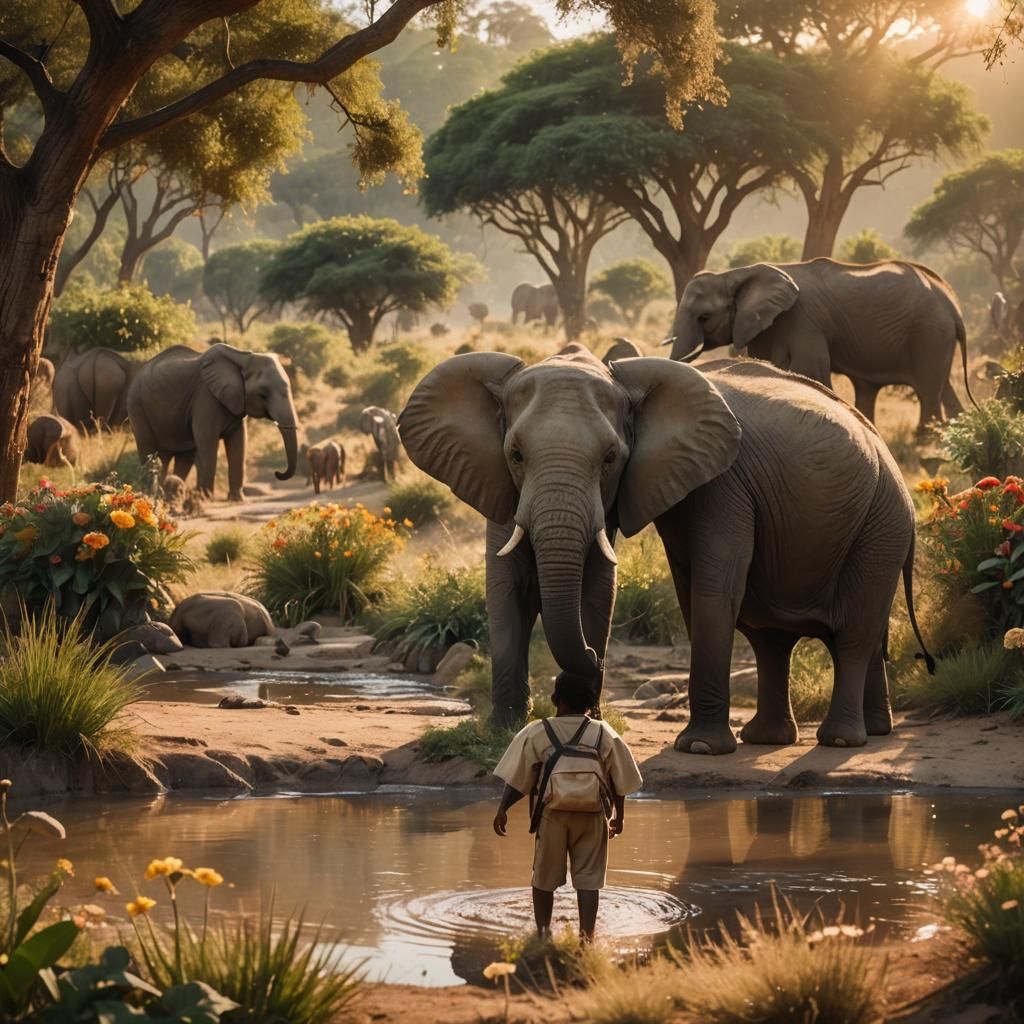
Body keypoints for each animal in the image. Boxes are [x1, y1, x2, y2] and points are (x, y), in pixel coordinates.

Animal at [127, 343, 299, 501]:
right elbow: (208, 441)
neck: (242, 357)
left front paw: (236, 498)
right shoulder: (205, 397)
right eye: (263, 394)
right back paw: (152, 494)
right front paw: (206, 498)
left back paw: (166, 495)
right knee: (148, 449)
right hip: (137, 405)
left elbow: (239, 443)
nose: (277, 473)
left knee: (177, 456)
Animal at [399, 345, 932, 750]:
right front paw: (503, 732)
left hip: (882, 522)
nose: (591, 662)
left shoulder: (725, 481)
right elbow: (507, 585)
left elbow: (685, 590)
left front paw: (697, 748)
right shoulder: (492, 472)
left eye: (610, 458)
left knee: (854, 629)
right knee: (782, 638)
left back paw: (838, 740)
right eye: (515, 454)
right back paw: (804, 736)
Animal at [667, 259, 973, 433]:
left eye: (704, 317)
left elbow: (809, 369)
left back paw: (925, 436)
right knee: (943, 388)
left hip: (929, 332)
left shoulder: (804, 318)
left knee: (929, 389)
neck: (733, 274)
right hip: (935, 336)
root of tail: (953, 303)